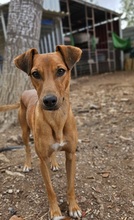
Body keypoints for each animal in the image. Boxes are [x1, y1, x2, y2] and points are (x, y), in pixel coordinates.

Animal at [0, 45, 82, 219]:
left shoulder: (71, 155)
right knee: (27, 148)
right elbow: (50, 190)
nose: (49, 100)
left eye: (60, 71)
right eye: (35, 74)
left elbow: (70, 185)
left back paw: (55, 163)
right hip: (24, 131)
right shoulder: (42, 160)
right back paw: (27, 164)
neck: (56, 119)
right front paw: (56, 211)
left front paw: (73, 207)